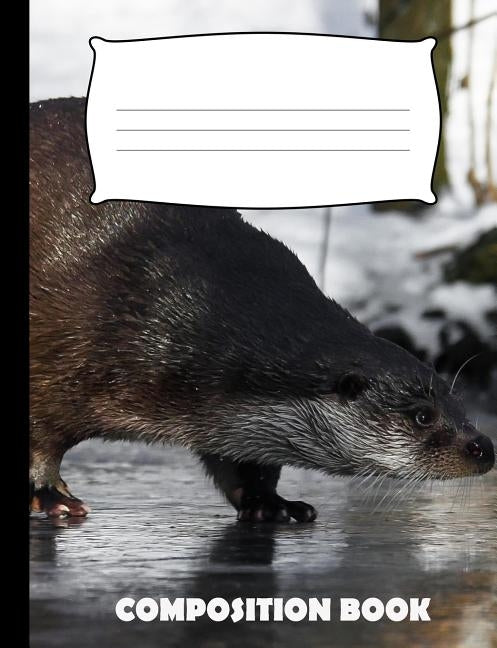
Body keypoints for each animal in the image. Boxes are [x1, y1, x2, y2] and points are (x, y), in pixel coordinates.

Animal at [30, 98, 495, 521]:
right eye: (422, 416)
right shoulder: (68, 348)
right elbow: (40, 434)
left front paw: (272, 503)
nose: (483, 447)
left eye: (457, 400)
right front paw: (51, 495)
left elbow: (246, 464)